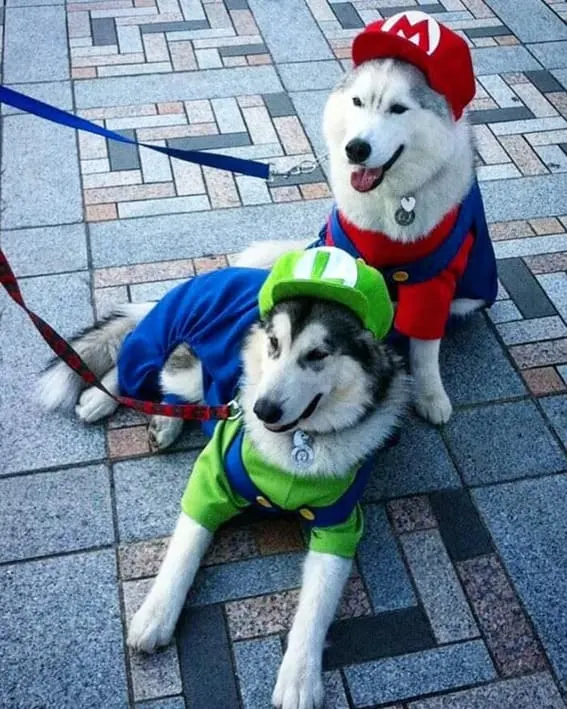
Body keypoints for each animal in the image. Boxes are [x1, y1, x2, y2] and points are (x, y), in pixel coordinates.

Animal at [237, 15, 500, 420]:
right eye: (358, 101)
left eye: (398, 109)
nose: (356, 149)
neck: (391, 199)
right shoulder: (343, 252)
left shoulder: (434, 280)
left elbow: (425, 350)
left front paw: (430, 397)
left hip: (468, 296)